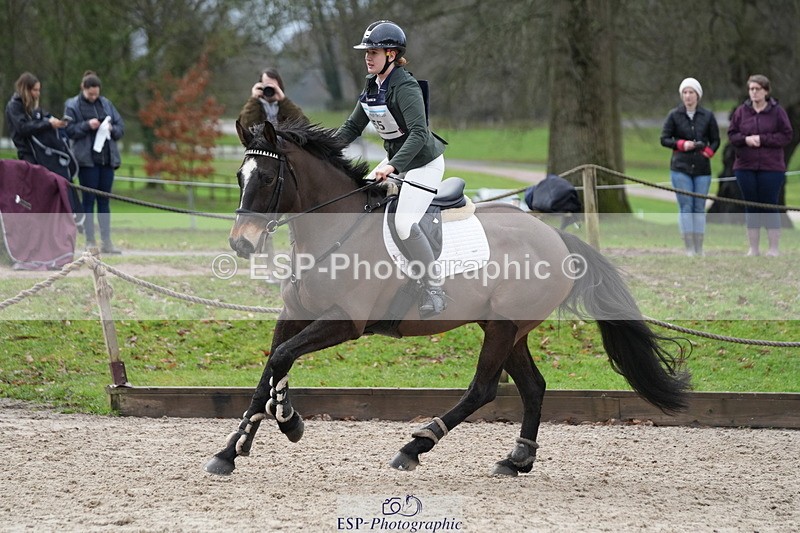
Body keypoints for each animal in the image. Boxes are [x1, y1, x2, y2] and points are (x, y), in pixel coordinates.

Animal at [204, 120, 690, 477]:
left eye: (268, 177)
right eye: (239, 176)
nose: (240, 244)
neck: (333, 229)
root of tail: (555, 237)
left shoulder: (345, 321)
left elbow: (282, 357)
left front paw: (287, 420)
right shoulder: (296, 312)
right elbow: (271, 365)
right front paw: (234, 447)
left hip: (503, 328)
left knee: (483, 388)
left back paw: (416, 446)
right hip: (507, 328)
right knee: (533, 386)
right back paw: (517, 460)